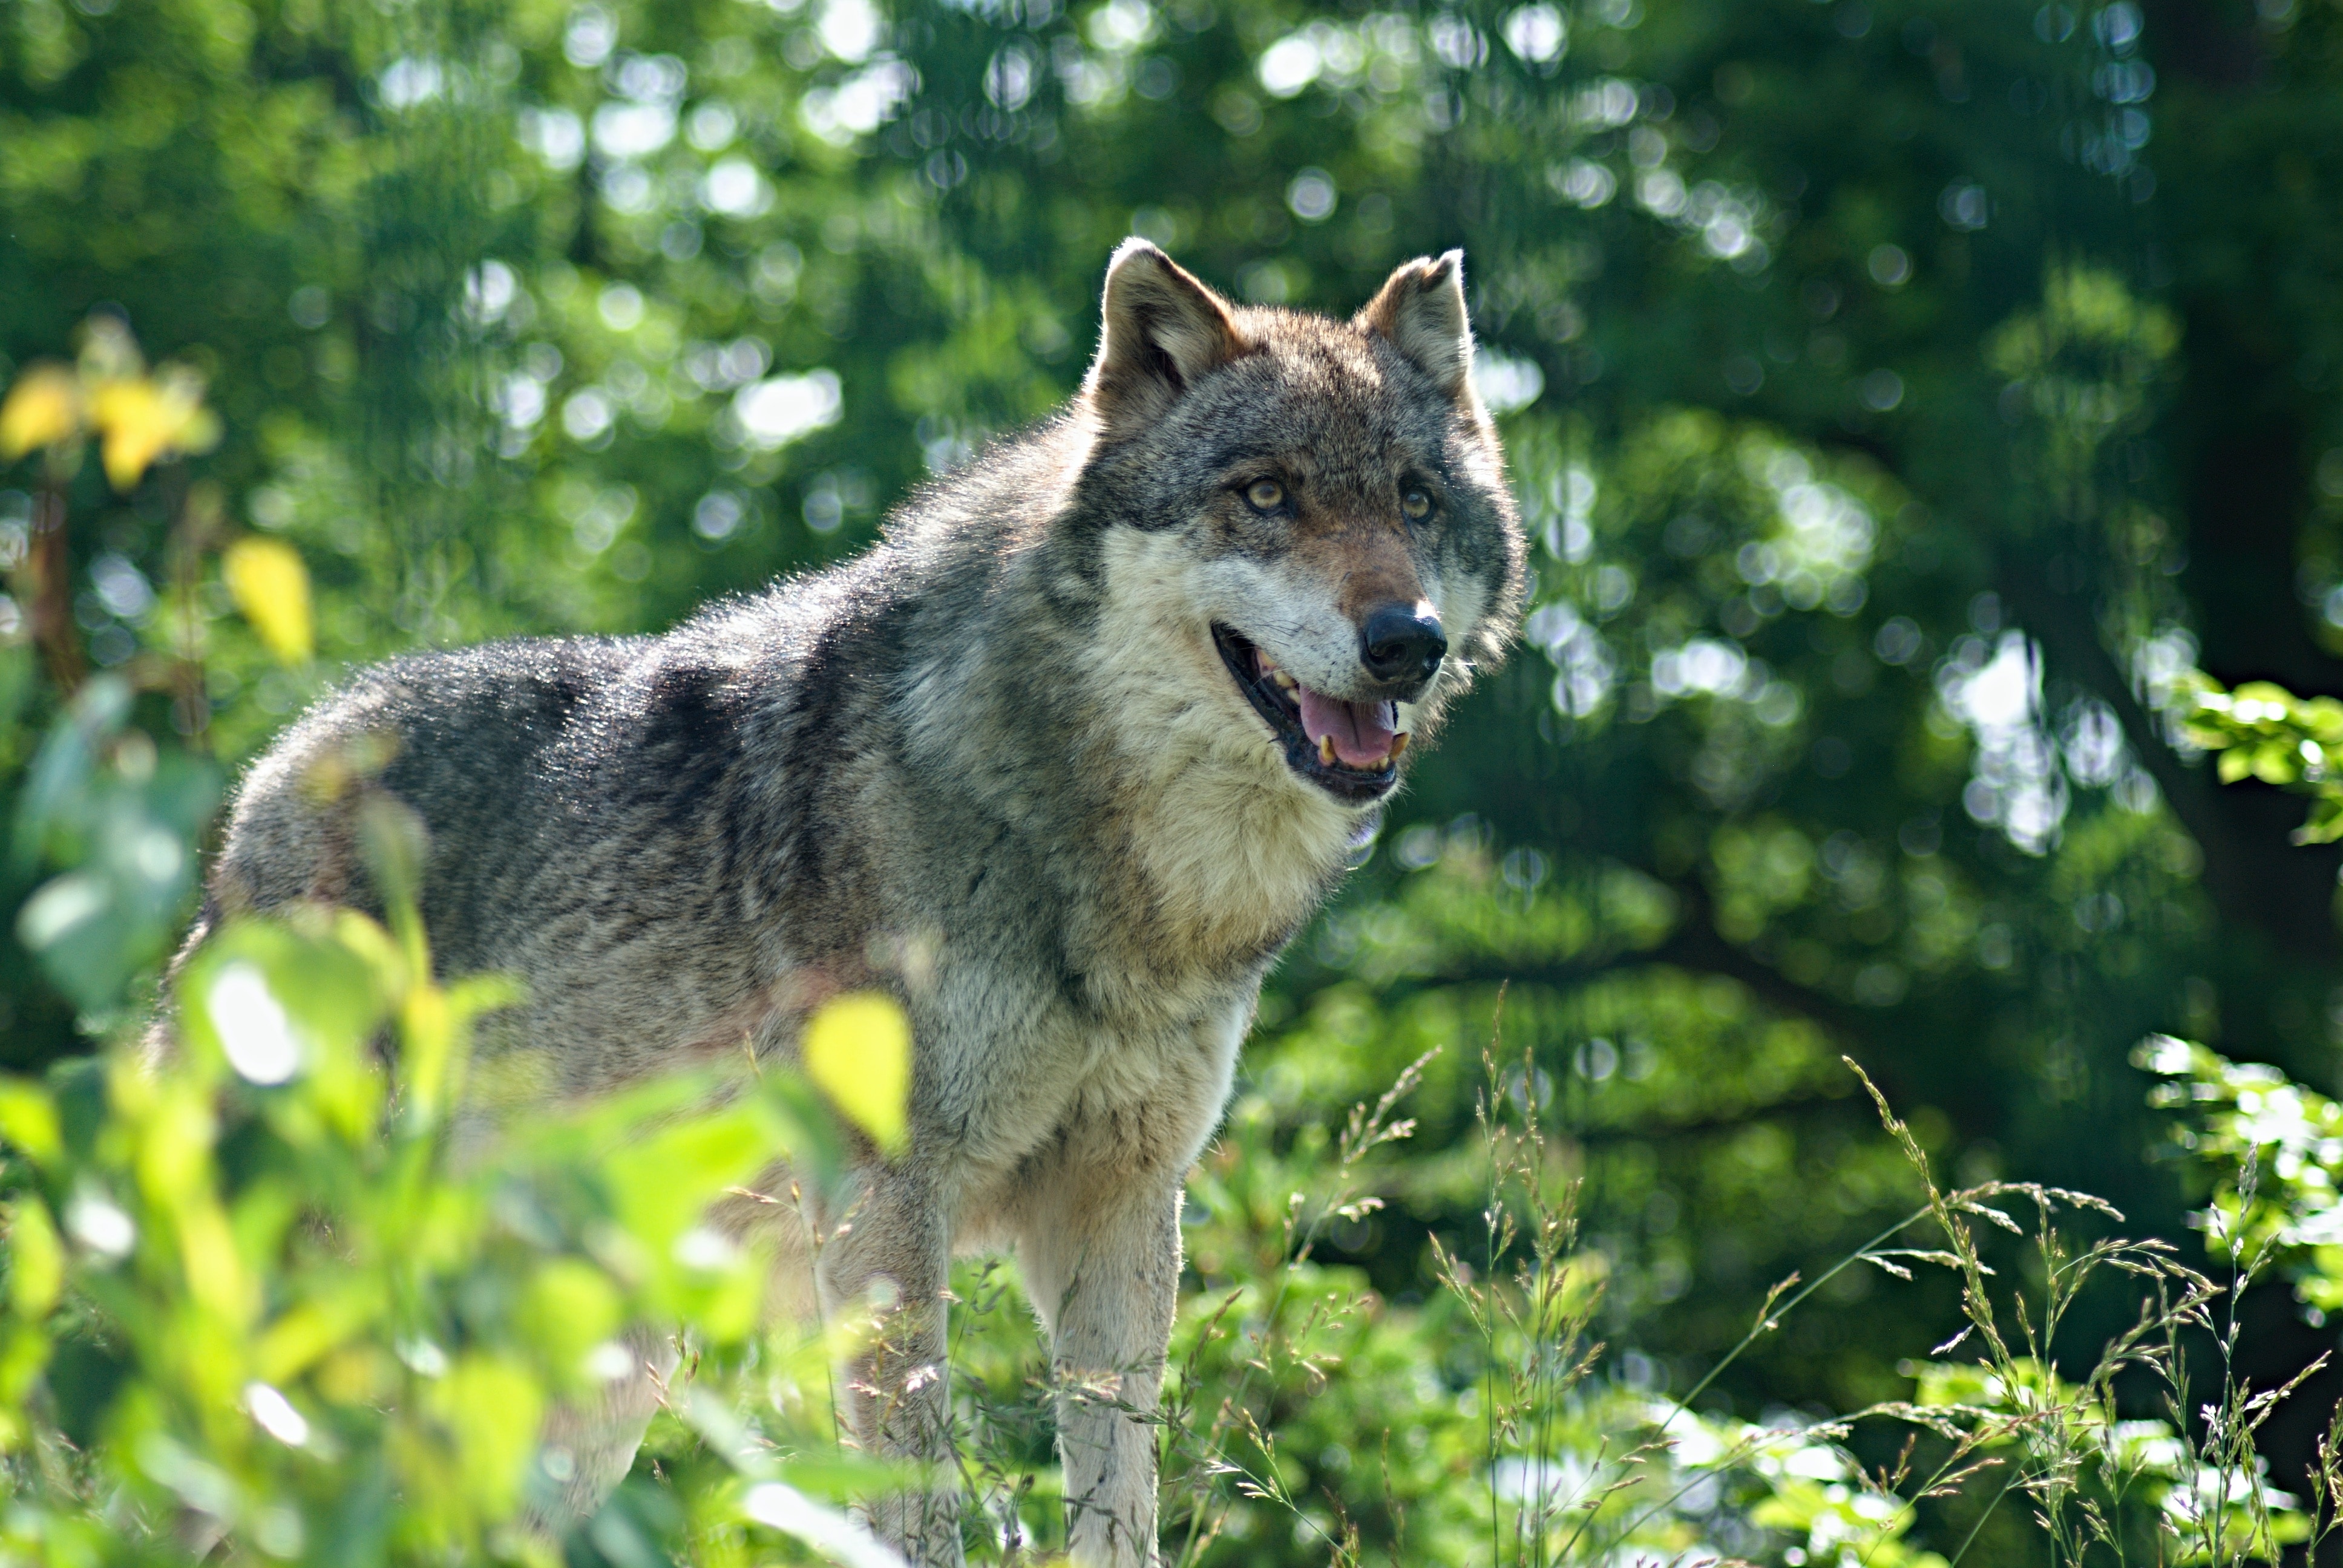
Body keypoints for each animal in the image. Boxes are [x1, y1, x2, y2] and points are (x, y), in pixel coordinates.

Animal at [173, 239, 1527, 1556]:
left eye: (1416, 499)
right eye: (1265, 494)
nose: (1405, 641)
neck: (1102, 865)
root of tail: (268, 777)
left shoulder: (1120, 1205)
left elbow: (1119, 1507)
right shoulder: (885, 1202)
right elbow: (918, 1508)